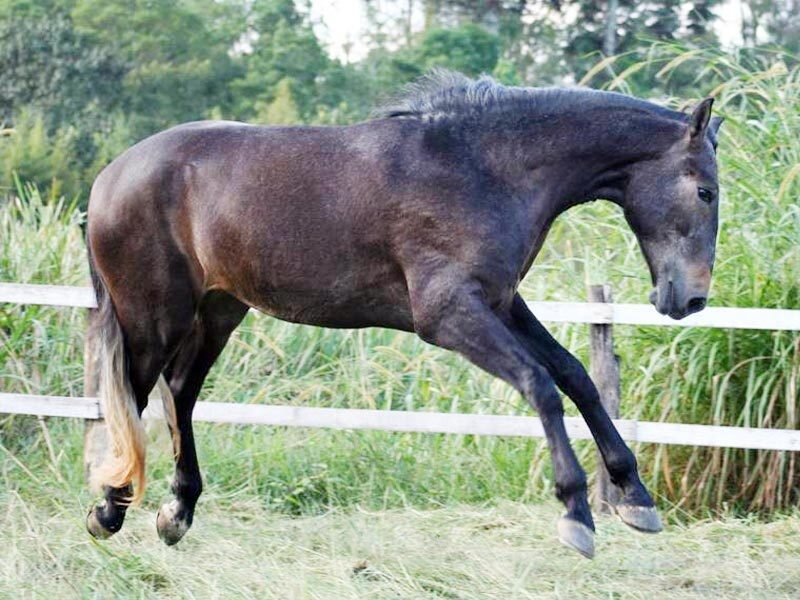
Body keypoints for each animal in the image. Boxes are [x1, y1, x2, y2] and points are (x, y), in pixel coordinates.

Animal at [84, 71, 722, 558]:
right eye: (706, 191)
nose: (688, 300)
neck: (485, 169)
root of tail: (109, 177)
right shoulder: (446, 314)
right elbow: (541, 385)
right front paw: (576, 514)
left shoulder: (500, 301)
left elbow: (576, 376)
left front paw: (635, 497)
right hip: (155, 316)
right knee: (135, 393)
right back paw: (109, 511)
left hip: (220, 309)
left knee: (179, 391)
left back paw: (176, 512)